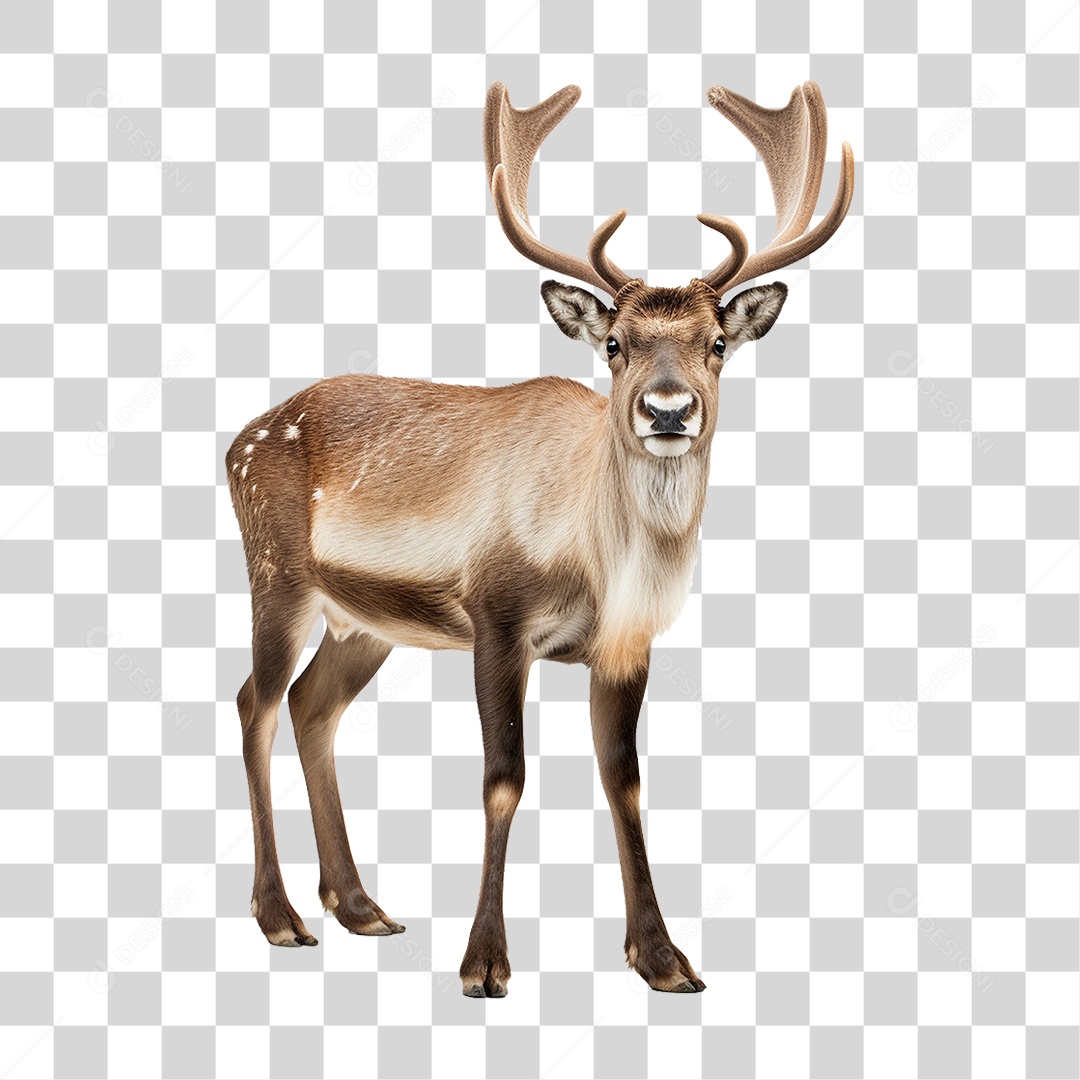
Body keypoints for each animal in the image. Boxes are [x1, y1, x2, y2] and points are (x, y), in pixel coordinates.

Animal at [226, 79, 854, 997]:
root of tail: (236, 441)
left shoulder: (627, 642)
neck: (595, 560)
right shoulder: (495, 611)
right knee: (256, 704)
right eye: (617, 343)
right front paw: (484, 963)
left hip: (364, 623)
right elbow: (504, 778)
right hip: (275, 571)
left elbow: (624, 780)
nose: (668, 410)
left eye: (717, 343)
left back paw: (360, 906)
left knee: (313, 707)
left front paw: (663, 959)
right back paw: (281, 917)